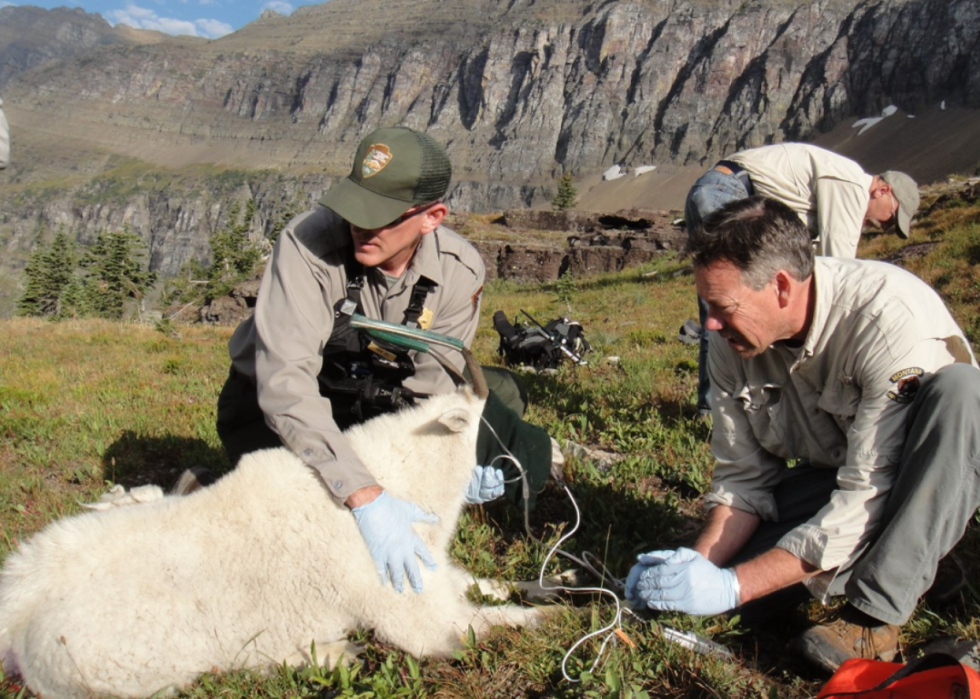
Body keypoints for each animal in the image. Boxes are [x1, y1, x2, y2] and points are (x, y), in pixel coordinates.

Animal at [0, 356, 544, 699]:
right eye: (491, 422)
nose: (546, 457)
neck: (401, 483)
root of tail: (17, 610)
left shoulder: (433, 570)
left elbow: (488, 586)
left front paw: (548, 584)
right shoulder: (415, 616)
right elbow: (489, 625)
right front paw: (554, 617)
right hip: (128, 672)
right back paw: (333, 653)